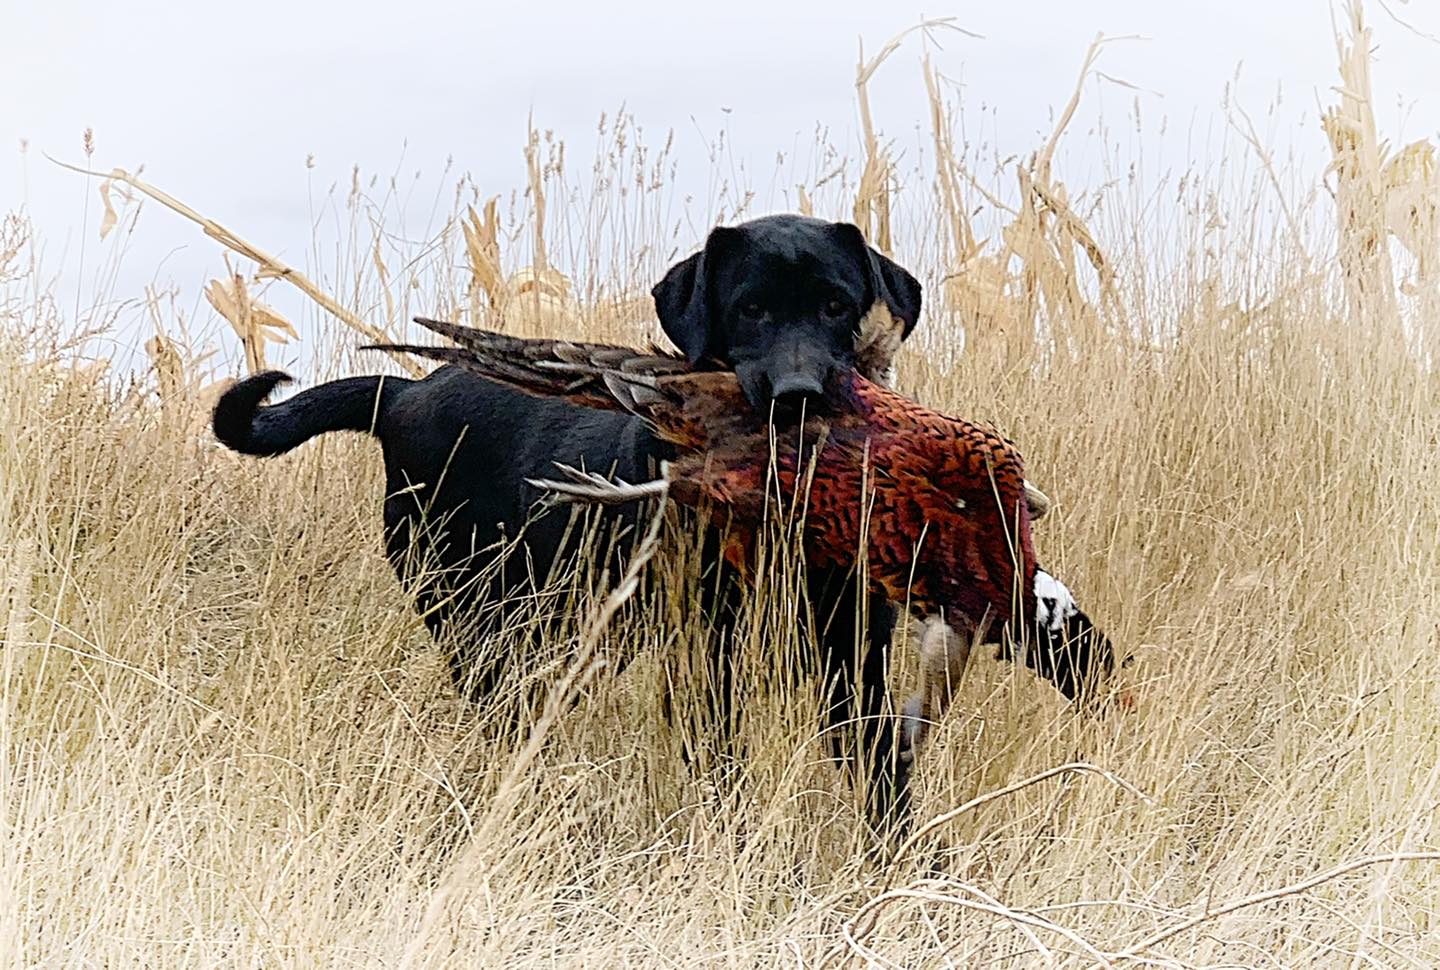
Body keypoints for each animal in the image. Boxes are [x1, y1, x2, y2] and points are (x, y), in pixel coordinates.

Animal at [218, 217, 927, 823]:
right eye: (749, 308)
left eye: (836, 304)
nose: (798, 395)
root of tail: (403, 392)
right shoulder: (703, 649)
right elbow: (720, 764)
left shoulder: (854, 651)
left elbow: (880, 765)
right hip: (468, 613)